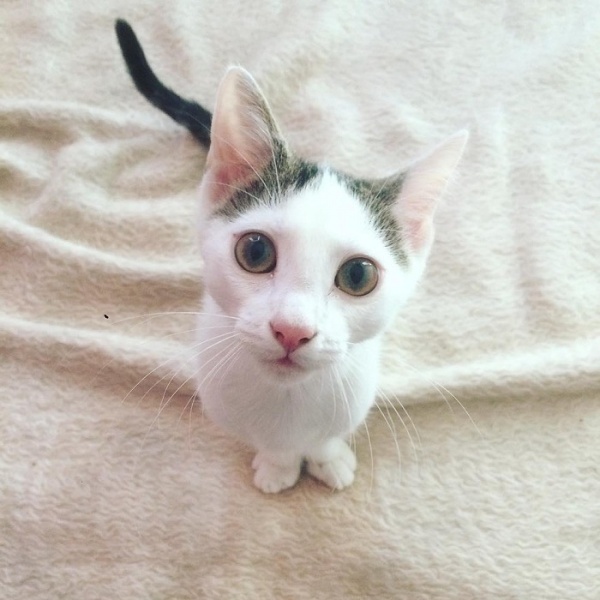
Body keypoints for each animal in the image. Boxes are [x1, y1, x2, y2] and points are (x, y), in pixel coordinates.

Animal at [116, 19, 467, 493]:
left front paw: (329, 459)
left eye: (359, 276)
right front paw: (278, 466)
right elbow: (271, 444)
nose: (292, 331)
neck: (288, 402)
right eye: (255, 250)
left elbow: (326, 437)